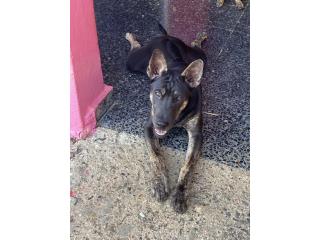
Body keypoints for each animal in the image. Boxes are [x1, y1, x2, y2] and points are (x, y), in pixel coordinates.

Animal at [125, 24, 208, 214]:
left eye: (178, 98)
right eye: (157, 93)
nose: (161, 124)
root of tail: (166, 37)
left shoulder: (196, 134)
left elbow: (187, 165)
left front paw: (180, 194)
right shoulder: (149, 127)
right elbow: (156, 157)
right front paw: (160, 184)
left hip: (200, 57)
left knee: (198, 49)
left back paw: (199, 38)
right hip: (133, 62)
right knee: (135, 48)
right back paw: (132, 37)